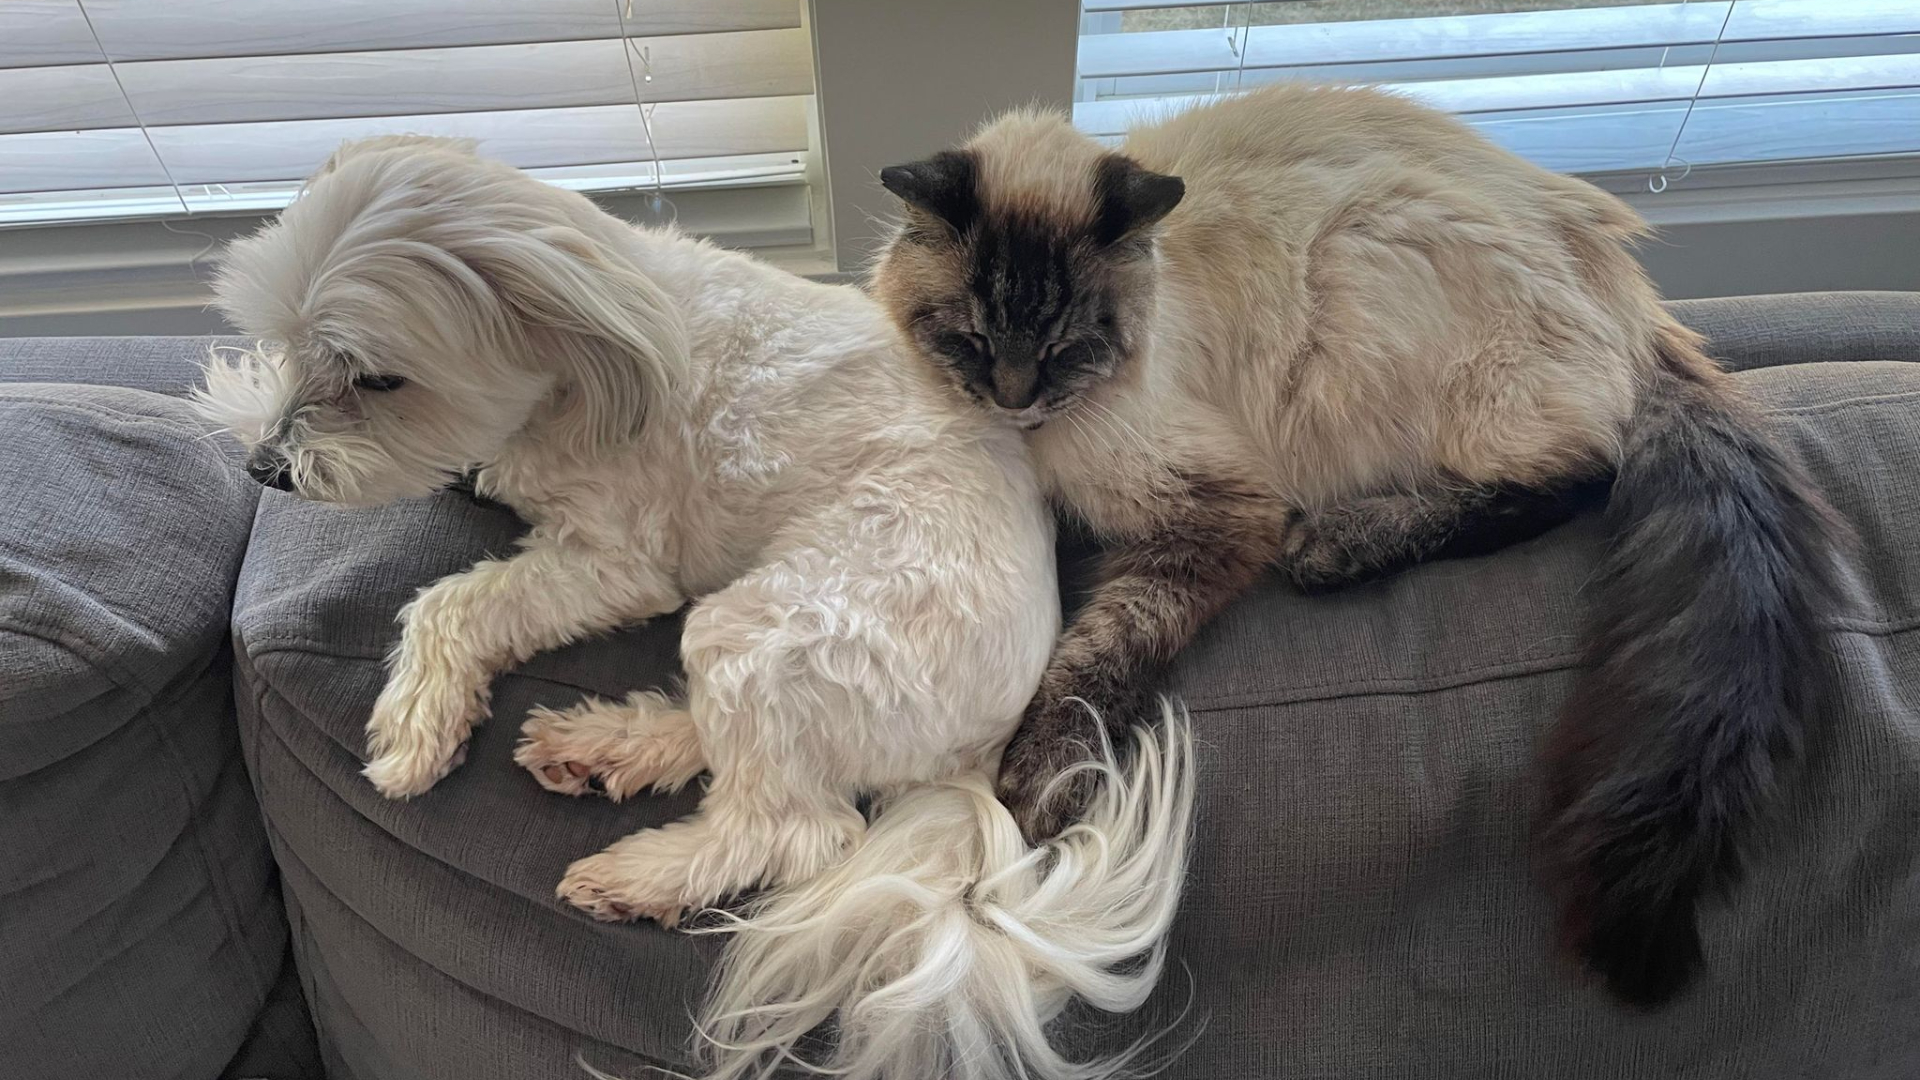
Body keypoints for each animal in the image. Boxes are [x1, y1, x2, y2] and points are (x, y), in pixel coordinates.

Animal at [187, 134, 1190, 1076]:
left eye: (377, 379)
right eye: (287, 346)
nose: (269, 469)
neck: (593, 339)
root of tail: (980, 754)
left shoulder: (615, 563)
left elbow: (453, 604)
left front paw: (414, 722)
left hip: (773, 624)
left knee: (794, 828)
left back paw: (644, 873)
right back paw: (603, 749)